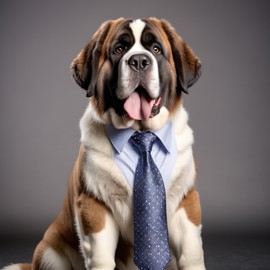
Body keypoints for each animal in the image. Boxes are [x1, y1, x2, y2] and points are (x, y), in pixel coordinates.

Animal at [3, 17, 205, 268]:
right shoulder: (95, 205)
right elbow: (101, 256)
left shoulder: (186, 201)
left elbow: (191, 251)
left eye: (156, 49)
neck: (140, 133)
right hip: (50, 252)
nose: (139, 61)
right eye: (118, 50)